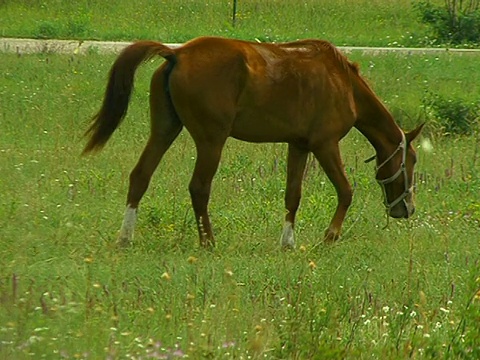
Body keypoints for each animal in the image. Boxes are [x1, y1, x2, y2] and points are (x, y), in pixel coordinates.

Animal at [83, 36, 424, 249]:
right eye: (411, 160)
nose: (407, 209)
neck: (344, 83)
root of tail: (177, 53)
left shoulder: (299, 146)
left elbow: (293, 195)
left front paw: (288, 242)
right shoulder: (325, 145)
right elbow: (345, 190)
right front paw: (330, 236)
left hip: (165, 130)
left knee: (140, 176)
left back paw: (125, 237)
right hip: (211, 139)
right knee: (199, 187)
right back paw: (208, 241)